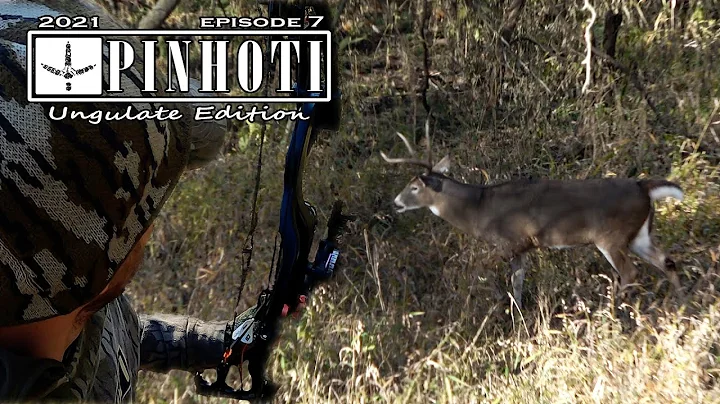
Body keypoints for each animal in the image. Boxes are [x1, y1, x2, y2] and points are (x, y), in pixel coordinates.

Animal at [381, 132, 684, 309]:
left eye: (414, 187)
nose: (395, 202)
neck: (479, 208)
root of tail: (643, 187)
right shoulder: (523, 248)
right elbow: (517, 285)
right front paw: (517, 319)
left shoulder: (510, 242)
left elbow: (488, 277)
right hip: (639, 235)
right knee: (667, 261)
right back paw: (679, 306)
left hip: (612, 237)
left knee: (630, 273)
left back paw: (614, 312)